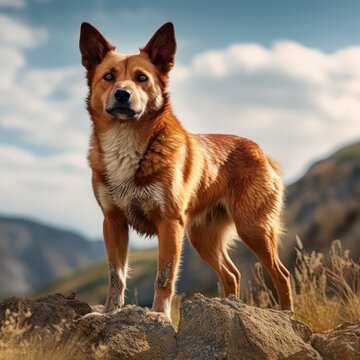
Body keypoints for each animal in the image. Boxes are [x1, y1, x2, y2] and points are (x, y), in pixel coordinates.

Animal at [79, 21, 292, 318]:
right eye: (108, 77)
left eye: (142, 78)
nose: (123, 94)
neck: (127, 142)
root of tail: (261, 152)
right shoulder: (113, 222)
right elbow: (116, 276)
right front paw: (110, 313)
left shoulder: (169, 223)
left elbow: (164, 276)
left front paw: (159, 315)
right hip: (203, 238)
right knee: (232, 275)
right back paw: (231, 306)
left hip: (254, 228)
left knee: (282, 274)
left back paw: (288, 315)